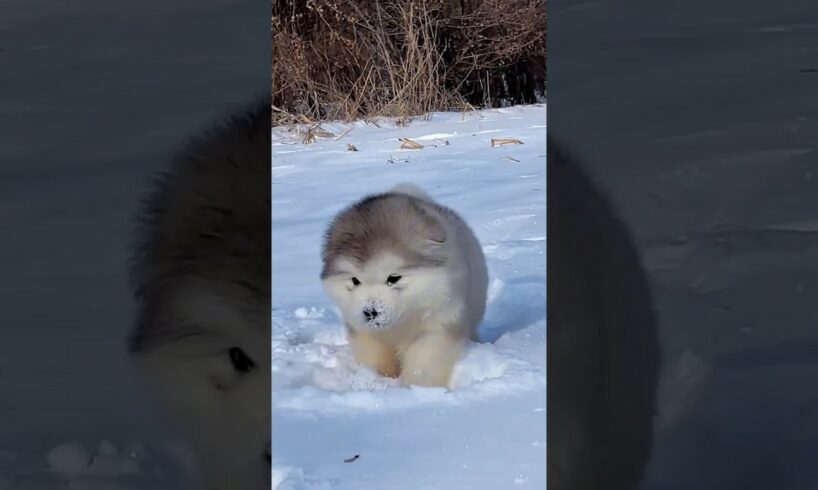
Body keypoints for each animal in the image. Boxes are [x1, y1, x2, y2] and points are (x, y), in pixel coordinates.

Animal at [318, 183, 484, 386]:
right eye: (355, 280)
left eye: (393, 278)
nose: (370, 312)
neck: (401, 324)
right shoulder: (363, 332)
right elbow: (374, 357)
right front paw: (376, 379)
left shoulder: (437, 327)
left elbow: (425, 362)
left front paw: (417, 386)